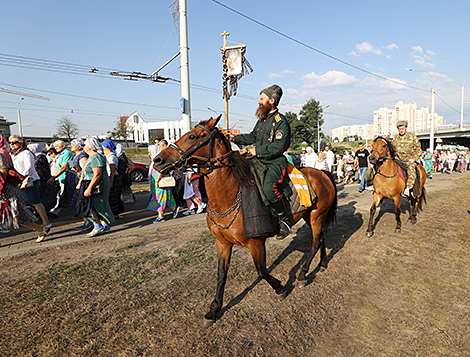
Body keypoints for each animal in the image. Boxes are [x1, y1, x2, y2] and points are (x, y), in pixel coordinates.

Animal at [154, 116, 338, 326]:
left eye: (192, 136)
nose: (158, 160)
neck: (230, 194)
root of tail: (322, 173)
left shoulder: (256, 243)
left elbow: (262, 271)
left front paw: (281, 288)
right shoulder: (222, 243)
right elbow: (221, 274)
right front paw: (214, 309)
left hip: (316, 216)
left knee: (315, 242)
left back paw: (302, 274)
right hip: (311, 216)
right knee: (321, 237)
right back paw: (322, 264)